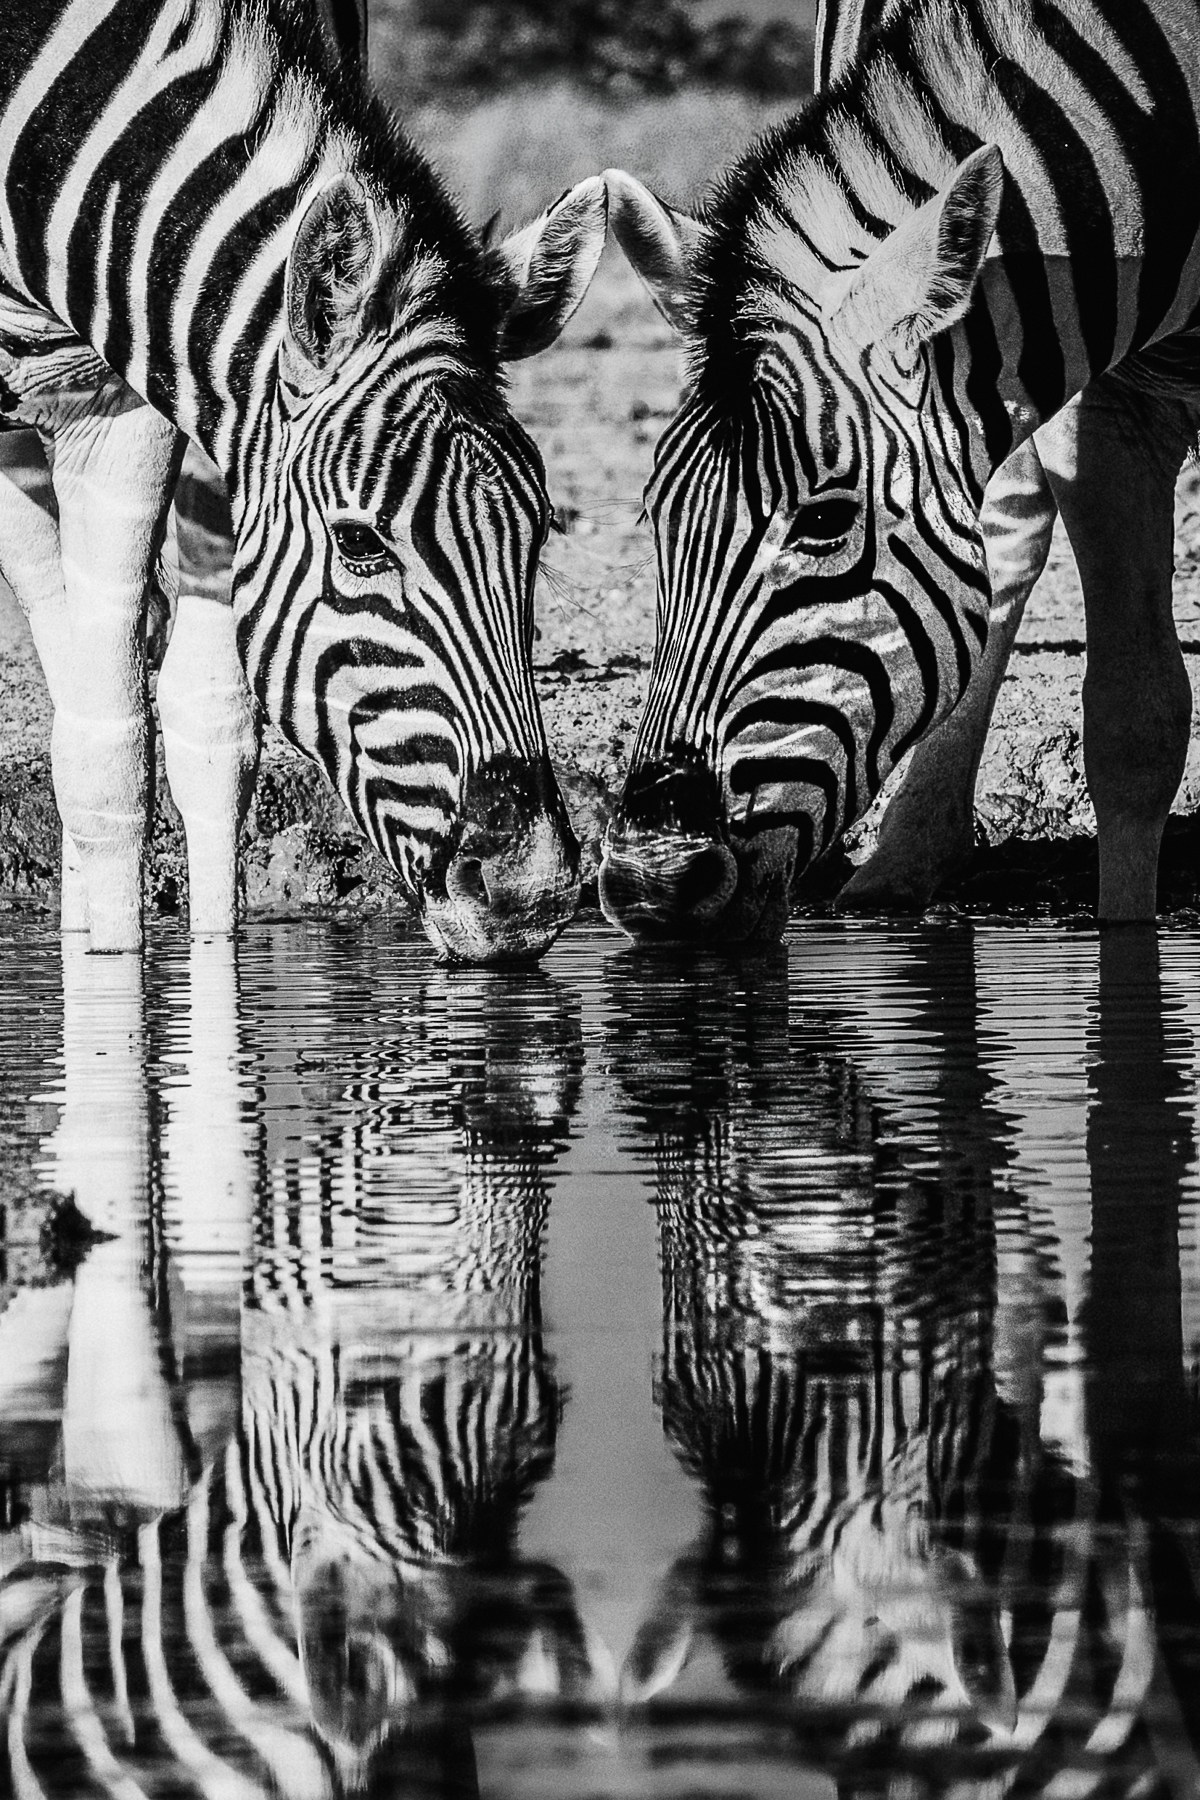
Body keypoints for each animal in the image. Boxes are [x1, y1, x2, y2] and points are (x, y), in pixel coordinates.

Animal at [0, 1, 608, 961]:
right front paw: (110, 971)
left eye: (539, 530)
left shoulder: (139, 391)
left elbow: (180, 730)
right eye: (358, 542)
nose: (531, 893)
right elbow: (110, 759)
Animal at [596, 0, 1200, 941]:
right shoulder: (1108, 395)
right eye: (656, 519)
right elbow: (1134, 726)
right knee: (1008, 533)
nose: (650, 886)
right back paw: (904, 861)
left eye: (824, 521)